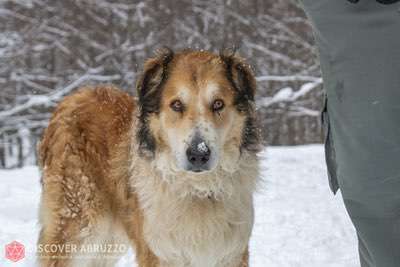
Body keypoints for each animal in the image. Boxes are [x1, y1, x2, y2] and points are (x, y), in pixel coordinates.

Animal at [38, 48, 262, 267]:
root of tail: (75, 96)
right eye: (177, 105)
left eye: (218, 104)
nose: (198, 154)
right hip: (79, 228)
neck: (196, 190)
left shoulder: (232, 253)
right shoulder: (158, 251)